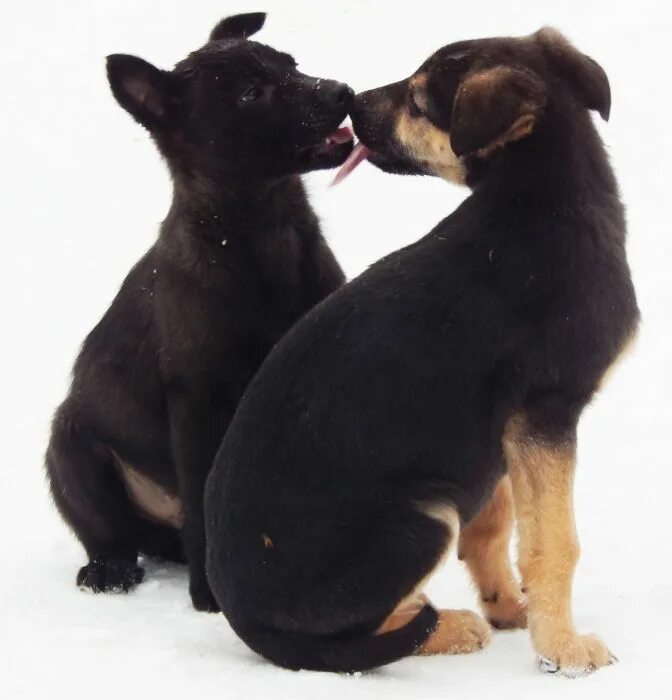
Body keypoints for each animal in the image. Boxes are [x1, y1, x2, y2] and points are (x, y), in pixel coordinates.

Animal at [45, 10, 354, 612]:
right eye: (251, 94)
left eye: (291, 65)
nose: (342, 92)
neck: (262, 235)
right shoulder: (199, 397)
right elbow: (205, 491)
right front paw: (212, 596)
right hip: (68, 444)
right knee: (111, 532)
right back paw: (110, 569)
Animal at [205, 28, 640, 672]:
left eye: (417, 102)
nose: (350, 101)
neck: (538, 197)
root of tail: (243, 622)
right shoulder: (546, 410)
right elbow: (555, 543)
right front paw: (562, 648)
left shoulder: (503, 434)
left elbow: (495, 526)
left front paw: (512, 607)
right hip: (425, 514)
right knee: (365, 639)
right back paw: (450, 627)